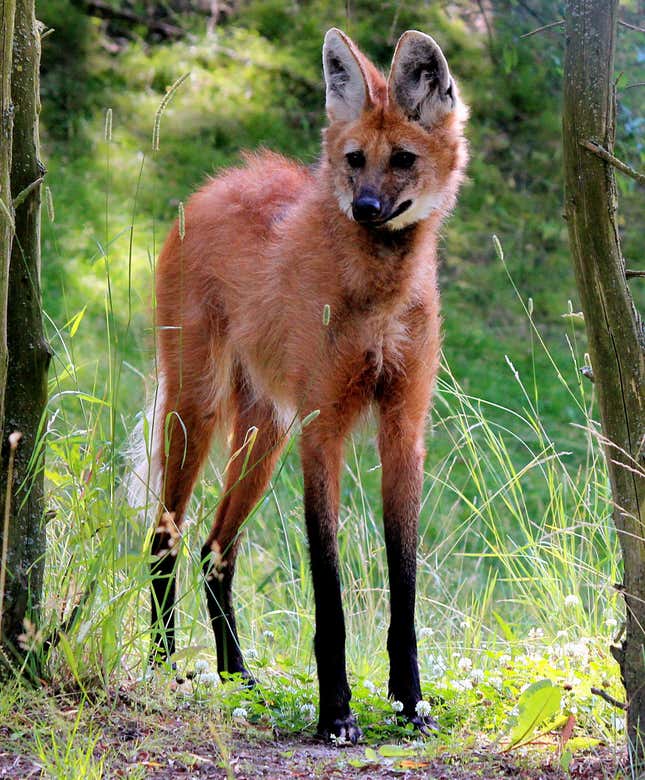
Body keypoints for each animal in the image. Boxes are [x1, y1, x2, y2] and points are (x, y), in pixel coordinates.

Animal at [135, 25, 468, 744]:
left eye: (403, 159)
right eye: (353, 160)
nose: (366, 208)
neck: (378, 294)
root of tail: (216, 183)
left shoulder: (402, 429)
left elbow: (405, 586)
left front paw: (410, 704)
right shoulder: (325, 431)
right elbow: (329, 592)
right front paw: (336, 714)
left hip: (267, 431)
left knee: (214, 553)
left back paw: (238, 676)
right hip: (200, 409)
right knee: (164, 538)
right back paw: (162, 665)